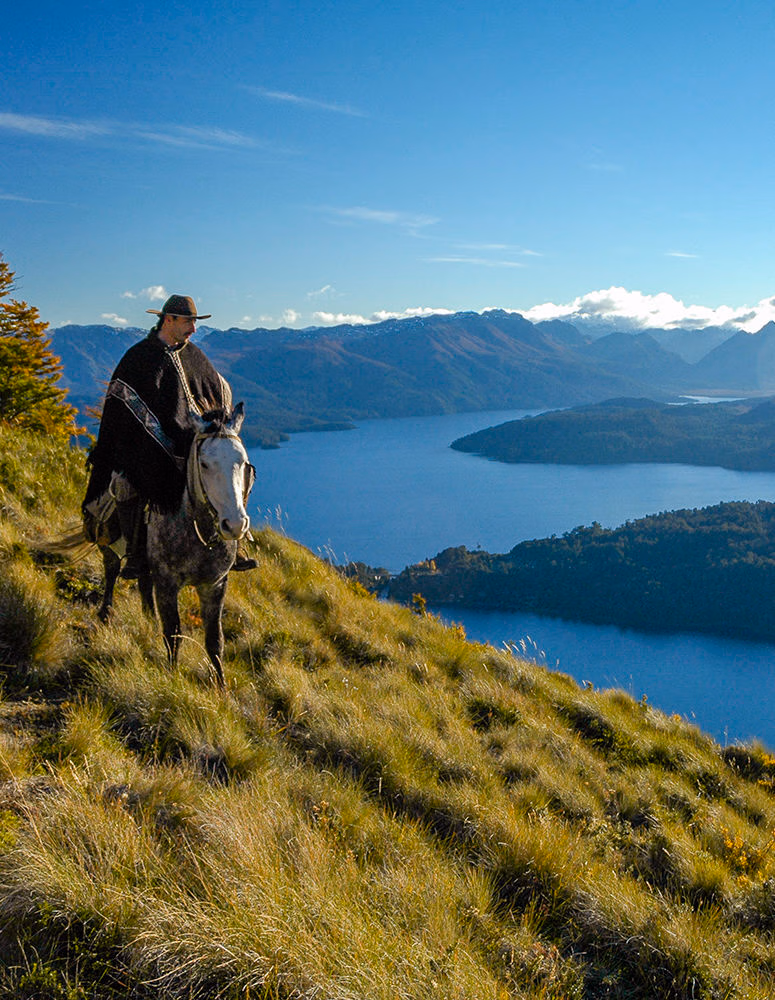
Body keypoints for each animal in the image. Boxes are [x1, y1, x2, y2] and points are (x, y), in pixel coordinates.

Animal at [84, 403, 255, 686]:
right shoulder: (167, 582)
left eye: (243, 463)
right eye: (204, 464)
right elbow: (173, 634)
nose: (234, 525)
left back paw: (148, 620)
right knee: (111, 572)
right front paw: (173, 678)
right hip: (106, 542)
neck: (197, 533)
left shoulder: (215, 585)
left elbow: (215, 641)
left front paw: (221, 689)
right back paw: (105, 614)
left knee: (143, 583)